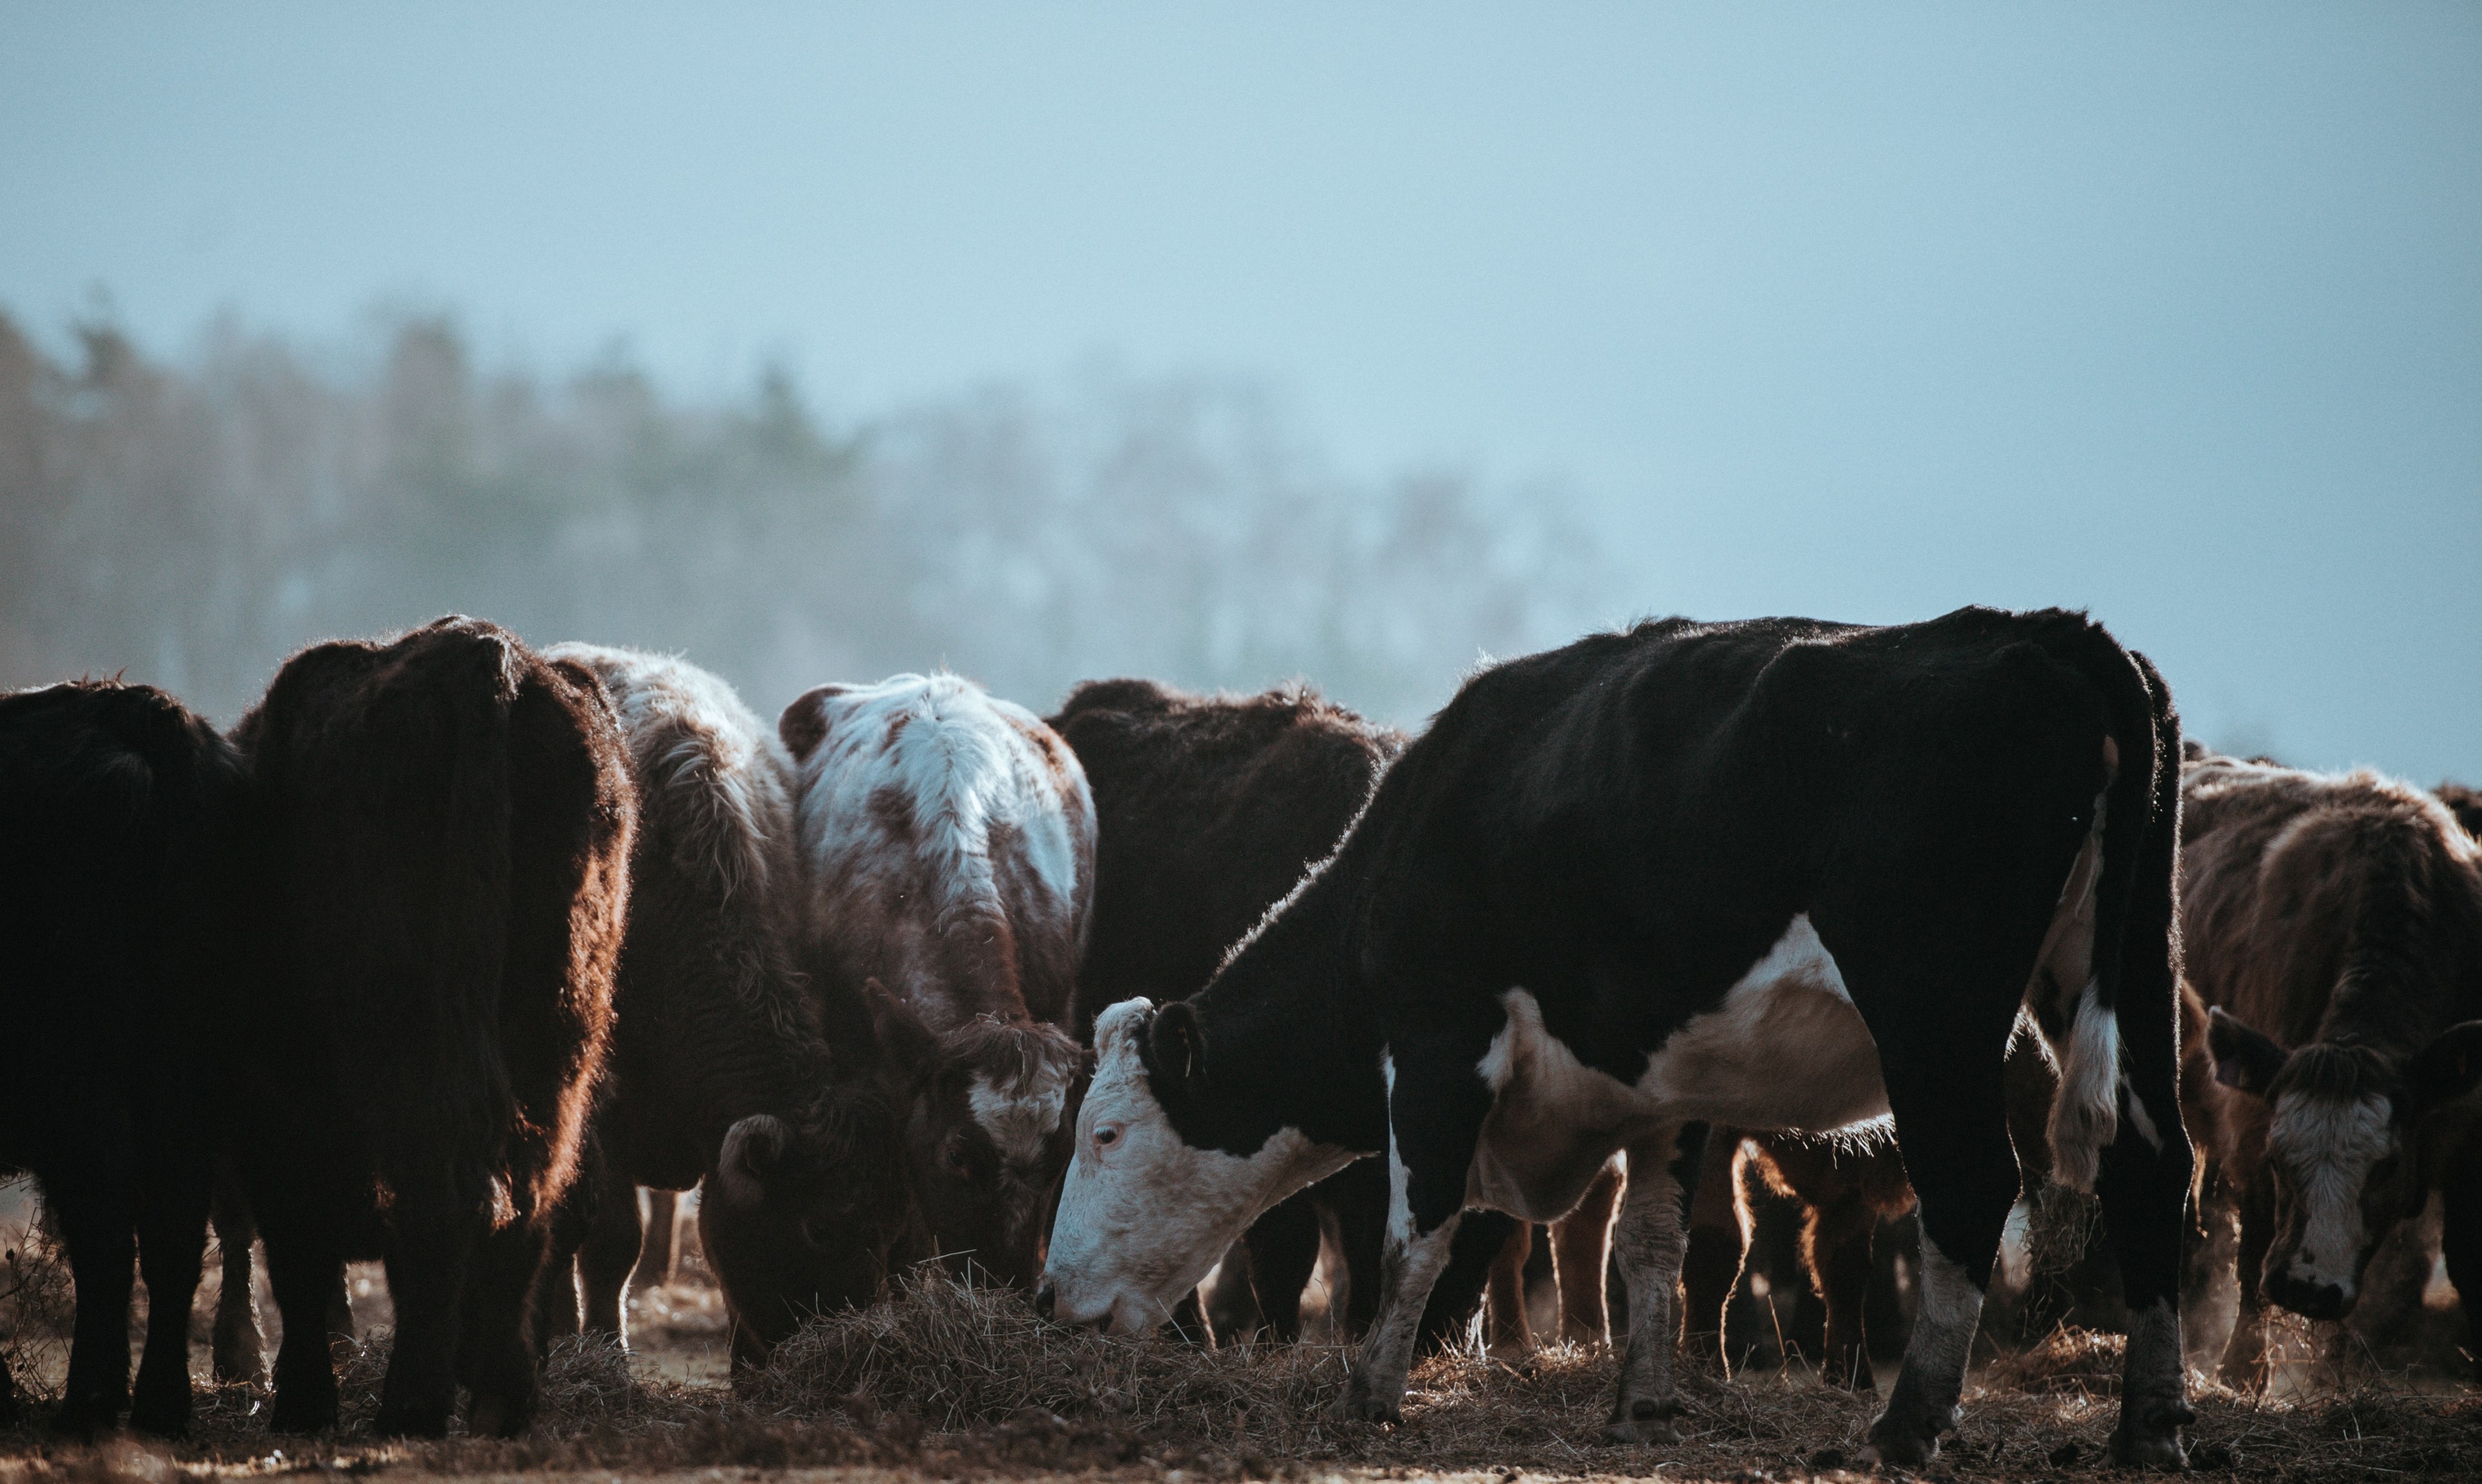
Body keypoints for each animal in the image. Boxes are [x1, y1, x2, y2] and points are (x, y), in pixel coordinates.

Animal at [0, 680, 246, 1437]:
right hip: (182, 1070)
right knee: (173, 1223)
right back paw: (160, 1405)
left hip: (82, 1074)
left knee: (107, 1220)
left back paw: (91, 1402)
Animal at [223, 617, 633, 1437]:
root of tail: (482, 654)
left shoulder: (276, 1100)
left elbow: (296, 1245)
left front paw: (304, 1399)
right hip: (558, 1038)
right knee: (527, 1193)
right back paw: (501, 1396)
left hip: (403, 1033)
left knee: (435, 1188)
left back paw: (411, 1402)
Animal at [528, 645, 913, 1363]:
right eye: (820, 1228)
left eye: (887, 1227)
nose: (852, 1331)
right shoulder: (598, 1115)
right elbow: (605, 1239)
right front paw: (599, 1349)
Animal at [2180, 754, 2482, 1386]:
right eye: (2279, 1158)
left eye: (2387, 1166)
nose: (2308, 1289)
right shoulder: (2252, 1120)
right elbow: (2255, 1241)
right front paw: (2243, 1368)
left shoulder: (2469, 1131)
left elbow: (2468, 1259)